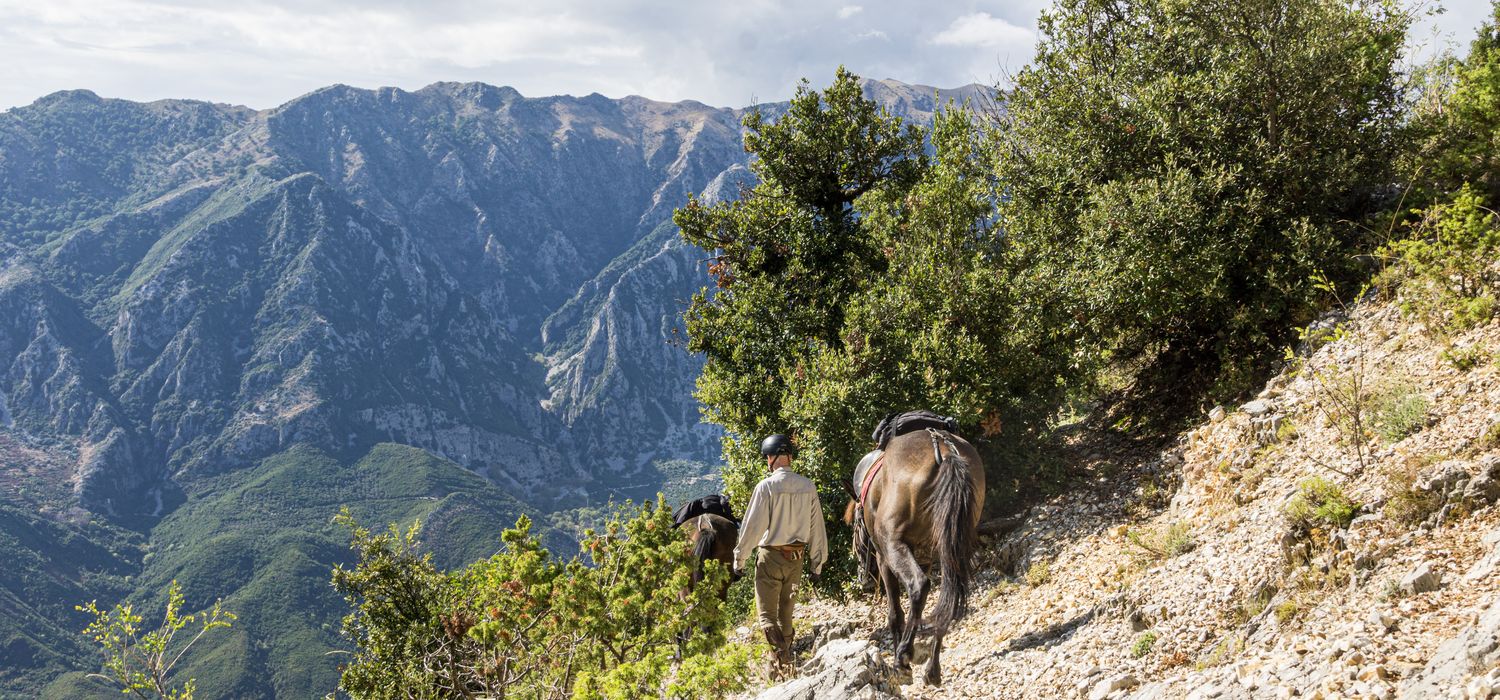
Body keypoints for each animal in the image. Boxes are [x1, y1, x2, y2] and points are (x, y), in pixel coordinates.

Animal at [846, 431, 984, 686]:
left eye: (854, 527)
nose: (862, 577)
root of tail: (944, 450)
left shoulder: (884, 559)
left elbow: (895, 613)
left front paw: (902, 659)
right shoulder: (926, 559)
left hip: (894, 547)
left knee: (918, 586)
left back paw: (902, 657)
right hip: (949, 547)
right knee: (948, 597)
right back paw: (932, 669)